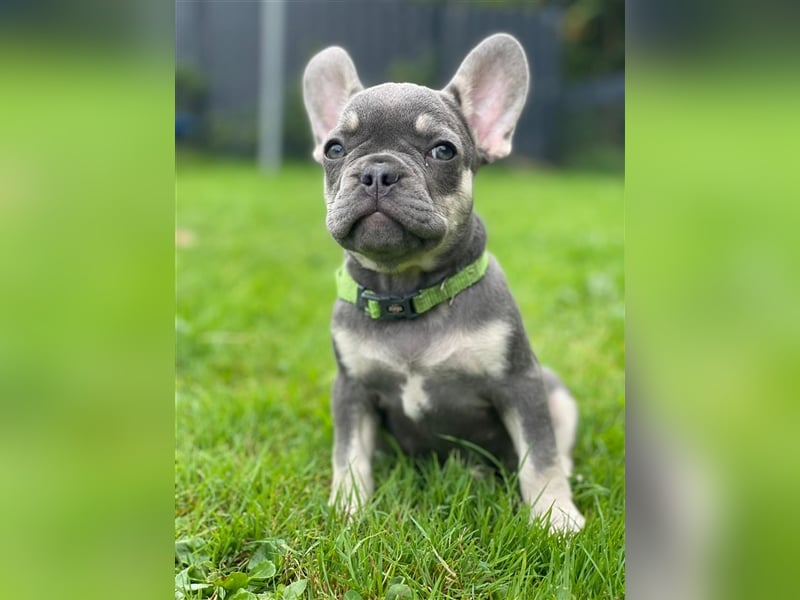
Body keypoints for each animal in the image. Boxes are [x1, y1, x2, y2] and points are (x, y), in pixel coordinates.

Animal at [304, 32, 584, 532]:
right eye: (334, 149)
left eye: (442, 151)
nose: (377, 171)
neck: (406, 289)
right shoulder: (352, 390)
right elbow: (348, 453)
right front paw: (348, 508)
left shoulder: (521, 384)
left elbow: (540, 454)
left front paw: (555, 516)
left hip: (557, 392)